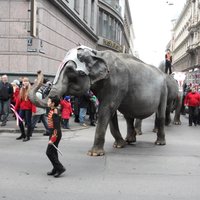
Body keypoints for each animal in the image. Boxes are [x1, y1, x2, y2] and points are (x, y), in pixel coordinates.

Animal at [28, 45, 168, 156]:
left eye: (72, 72)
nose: (39, 71)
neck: (97, 54)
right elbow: (110, 112)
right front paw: (119, 145)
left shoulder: (117, 82)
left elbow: (107, 108)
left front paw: (94, 153)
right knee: (129, 117)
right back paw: (129, 140)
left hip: (163, 91)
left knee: (160, 114)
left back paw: (159, 143)